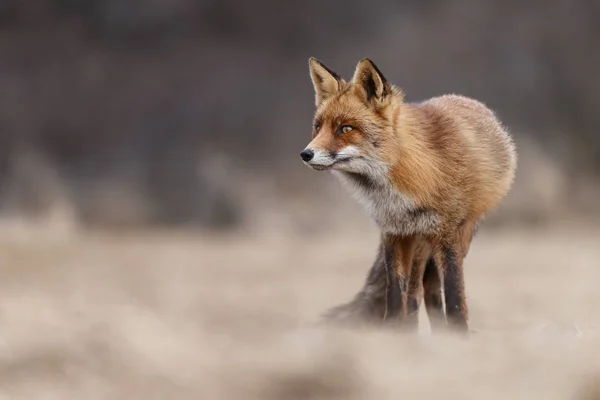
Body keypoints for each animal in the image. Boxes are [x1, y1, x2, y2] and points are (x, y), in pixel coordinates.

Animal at [302, 56, 516, 332]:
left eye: (345, 129)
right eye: (318, 127)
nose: (306, 154)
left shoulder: (447, 236)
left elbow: (455, 299)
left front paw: (460, 335)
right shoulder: (394, 234)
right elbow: (395, 298)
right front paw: (393, 334)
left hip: (457, 234)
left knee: (430, 289)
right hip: (418, 243)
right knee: (417, 293)